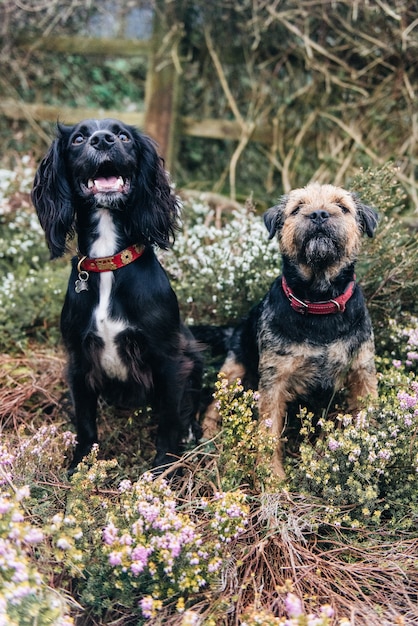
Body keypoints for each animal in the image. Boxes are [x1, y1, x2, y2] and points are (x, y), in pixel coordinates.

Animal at [31, 117, 202, 470]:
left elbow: (169, 419)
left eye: (123, 136)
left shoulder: (169, 356)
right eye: (78, 138)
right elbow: (85, 421)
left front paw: (164, 468)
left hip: (192, 351)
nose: (102, 140)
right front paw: (80, 466)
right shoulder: (78, 358)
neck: (108, 260)